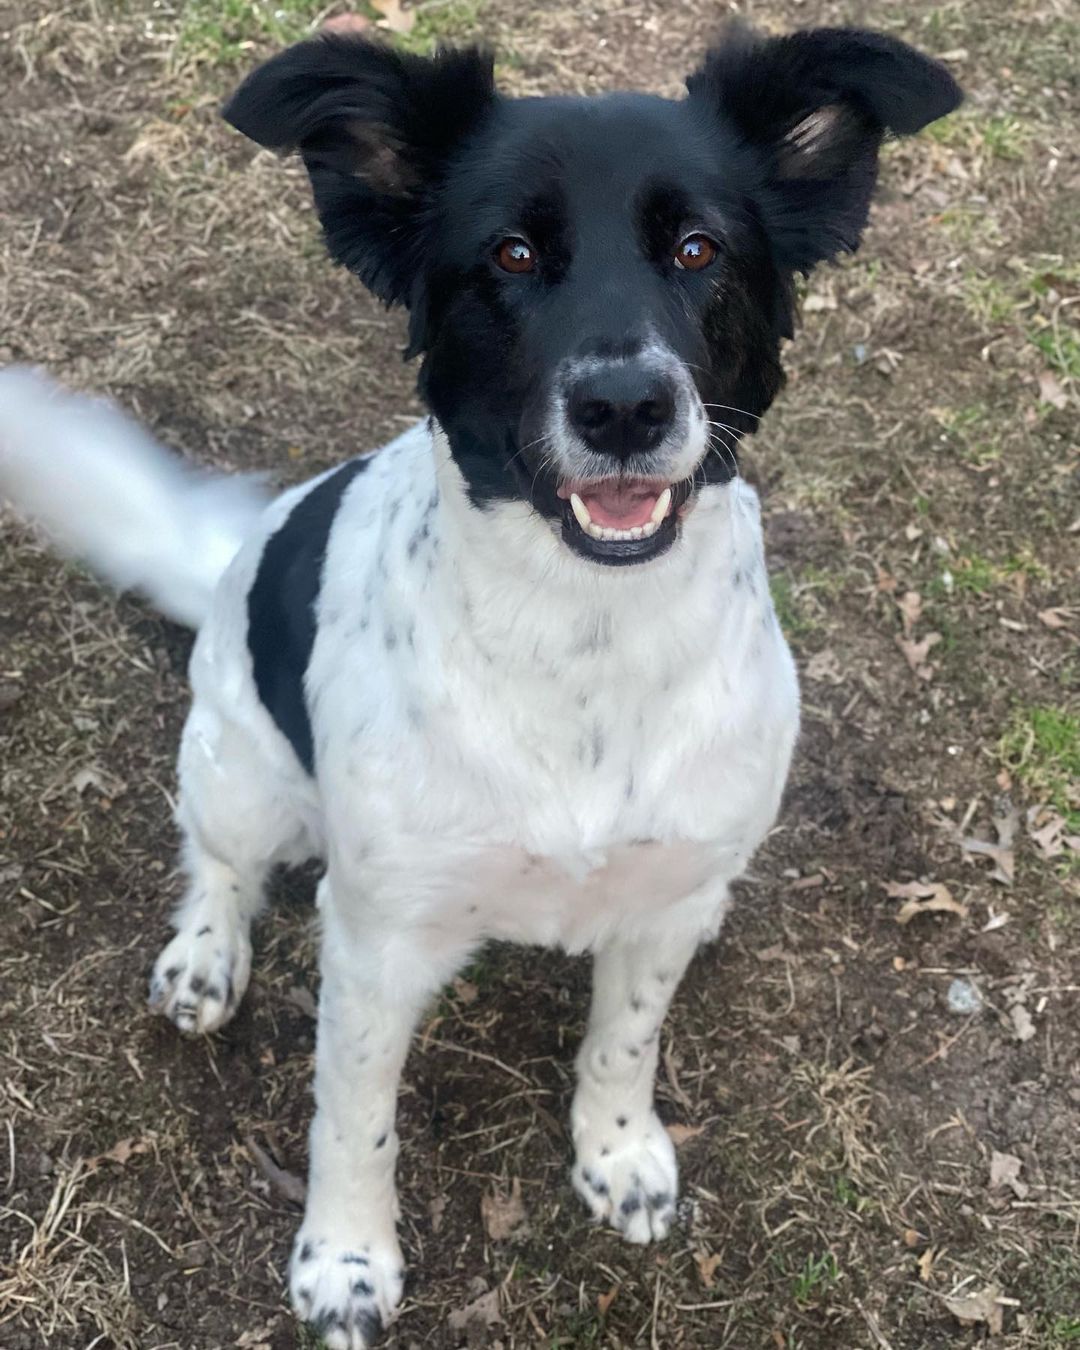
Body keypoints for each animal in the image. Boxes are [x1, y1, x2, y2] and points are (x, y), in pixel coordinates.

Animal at [0, 23, 961, 1350]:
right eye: (510, 253)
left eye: (699, 249)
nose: (624, 406)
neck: (587, 636)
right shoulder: (375, 946)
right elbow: (354, 1121)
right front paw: (347, 1260)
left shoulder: (653, 913)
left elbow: (624, 1043)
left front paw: (619, 1154)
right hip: (237, 765)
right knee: (219, 860)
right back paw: (204, 954)